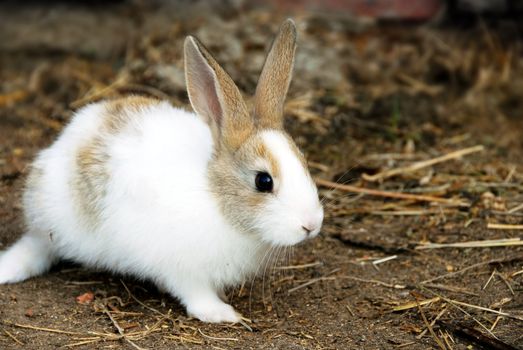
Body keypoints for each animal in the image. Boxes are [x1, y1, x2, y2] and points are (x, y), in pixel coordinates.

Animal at [0, 19, 324, 322]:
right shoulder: (181, 268)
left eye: (304, 161)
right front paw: (222, 314)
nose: (311, 225)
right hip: (55, 222)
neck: (215, 197)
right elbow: (194, 294)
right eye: (263, 181)